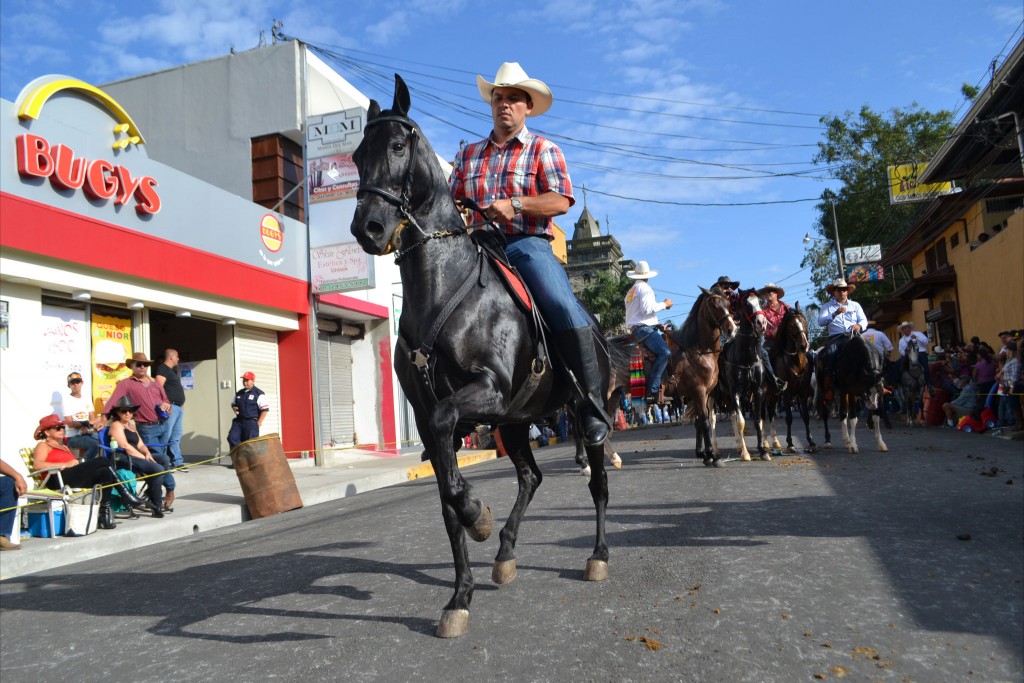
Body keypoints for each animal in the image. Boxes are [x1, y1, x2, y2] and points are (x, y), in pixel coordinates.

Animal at [348, 76, 626, 643]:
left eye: (398, 145)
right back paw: (505, 552)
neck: (443, 288)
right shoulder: (440, 418)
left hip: (581, 414)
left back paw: (598, 554)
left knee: (597, 481)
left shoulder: (486, 391)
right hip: (517, 422)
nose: (368, 227)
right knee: (531, 477)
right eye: (357, 155)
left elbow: (451, 454)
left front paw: (478, 513)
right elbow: (446, 499)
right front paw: (461, 595)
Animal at [663, 288, 737, 464]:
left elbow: (699, 422)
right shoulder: (699, 392)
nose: (731, 329)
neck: (698, 351)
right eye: (714, 305)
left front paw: (702, 453)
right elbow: (704, 421)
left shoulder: (704, 394)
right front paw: (710, 454)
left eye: (728, 303)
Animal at [712, 290, 770, 462]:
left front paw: (762, 451)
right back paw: (715, 449)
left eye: (761, 302)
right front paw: (745, 453)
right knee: (712, 419)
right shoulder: (735, 392)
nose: (761, 323)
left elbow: (757, 421)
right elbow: (741, 422)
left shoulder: (757, 391)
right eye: (746, 304)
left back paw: (738, 445)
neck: (746, 358)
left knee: (730, 415)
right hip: (713, 396)